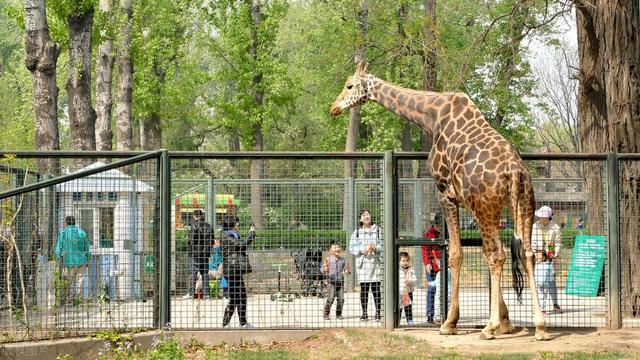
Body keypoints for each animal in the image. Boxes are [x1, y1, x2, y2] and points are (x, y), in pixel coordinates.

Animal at [332, 62, 548, 340]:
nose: (334, 107)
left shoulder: (444, 191)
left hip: (485, 209)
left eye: (349, 85)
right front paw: (507, 322)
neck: (431, 116)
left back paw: (488, 327)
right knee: (528, 253)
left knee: (496, 255)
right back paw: (540, 326)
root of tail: (515, 173)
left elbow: (455, 253)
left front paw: (450, 323)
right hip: (524, 205)